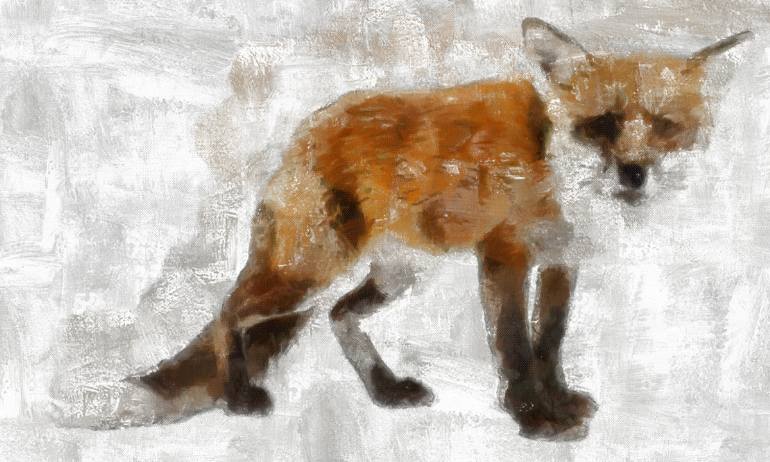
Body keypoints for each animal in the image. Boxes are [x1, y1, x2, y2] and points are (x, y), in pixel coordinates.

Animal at [119, 18, 751, 439]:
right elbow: (515, 346)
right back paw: (240, 396)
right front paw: (533, 417)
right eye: (603, 124)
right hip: (307, 269)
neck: (555, 171)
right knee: (231, 313)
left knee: (339, 316)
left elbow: (550, 342)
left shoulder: (562, 260)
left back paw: (384, 389)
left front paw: (557, 400)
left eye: (666, 126)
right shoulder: (504, 254)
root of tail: (306, 129)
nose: (634, 173)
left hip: (397, 274)